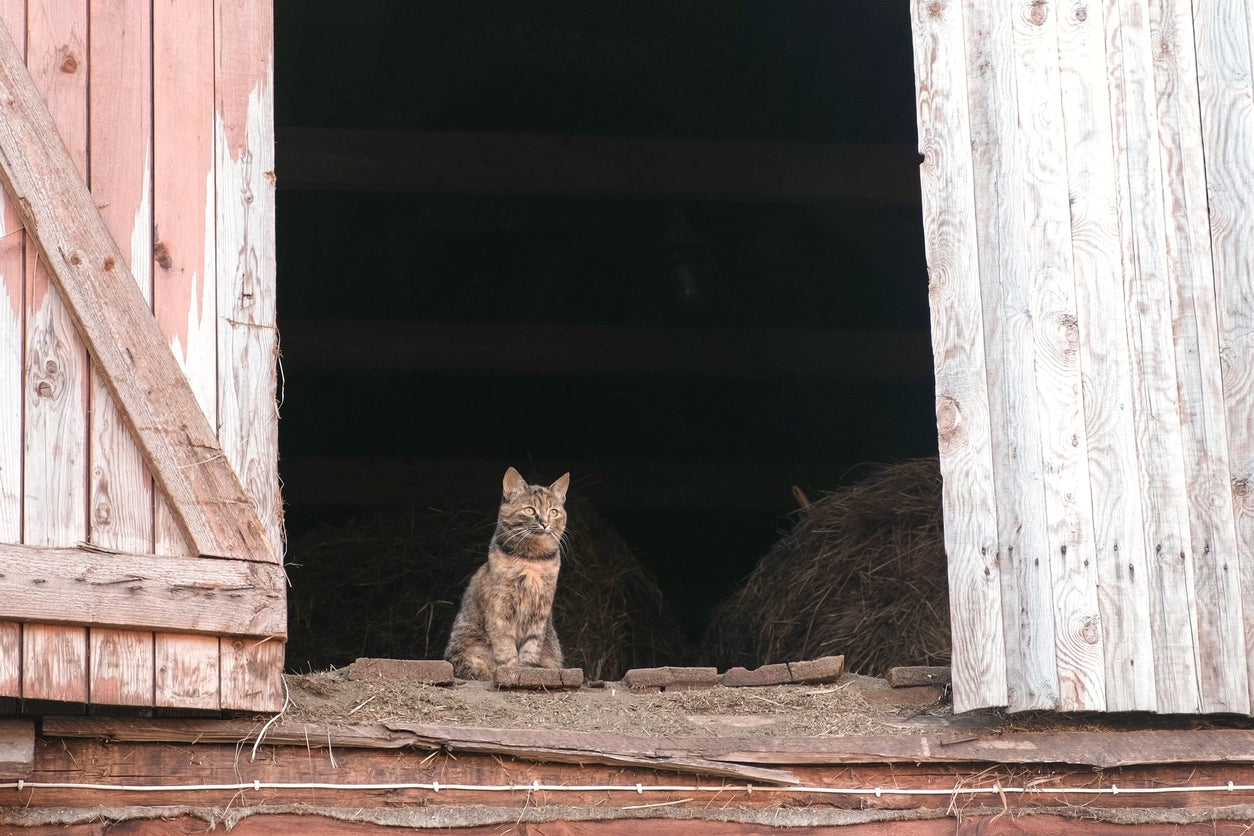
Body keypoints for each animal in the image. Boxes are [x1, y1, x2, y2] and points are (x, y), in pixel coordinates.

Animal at [443, 468, 571, 681]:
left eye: (554, 512)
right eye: (529, 510)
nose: (545, 523)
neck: (531, 560)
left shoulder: (540, 613)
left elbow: (531, 646)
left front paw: (527, 668)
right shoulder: (500, 609)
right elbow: (505, 647)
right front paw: (512, 668)